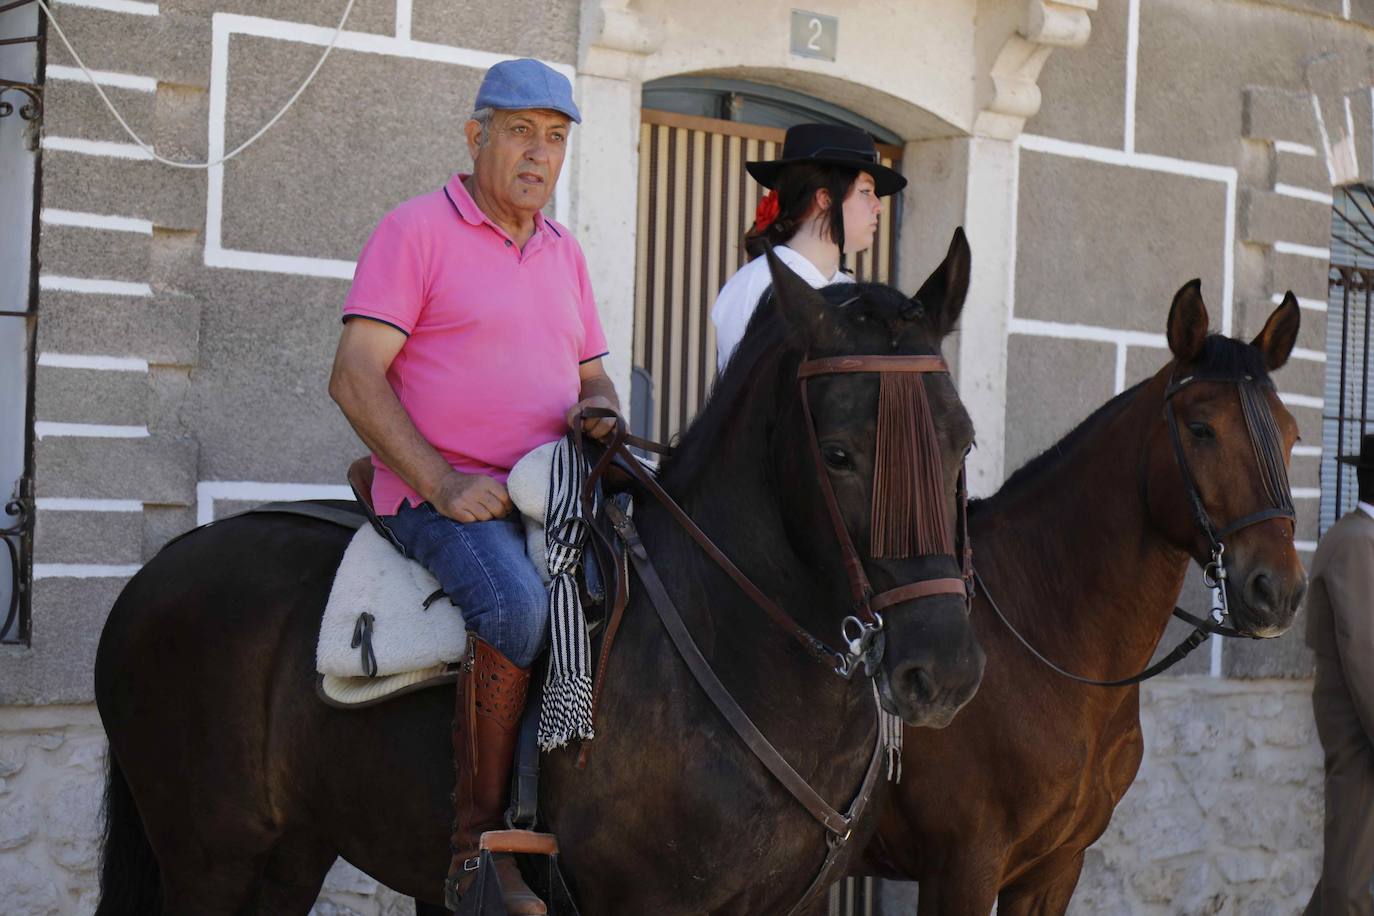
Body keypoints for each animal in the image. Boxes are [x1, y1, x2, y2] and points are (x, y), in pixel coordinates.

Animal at [91, 233, 983, 911]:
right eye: (837, 454)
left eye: (963, 440)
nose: (941, 671)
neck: (731, 642)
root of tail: (156, 569)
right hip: (213, 859)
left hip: (289, 855)